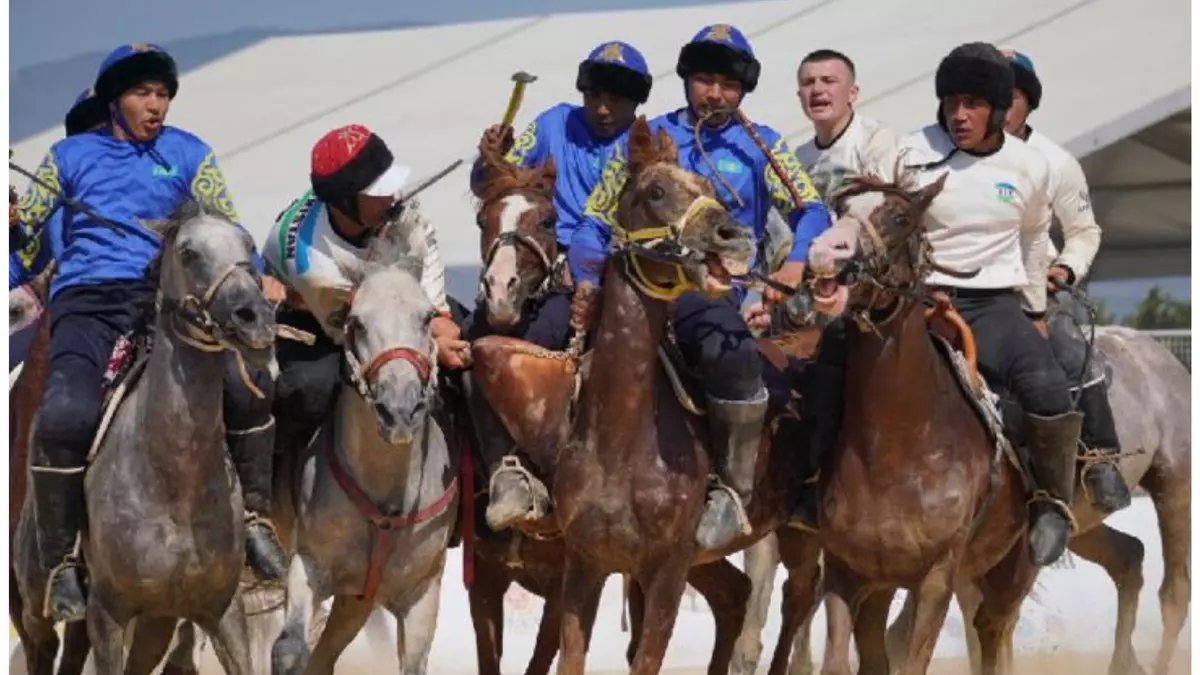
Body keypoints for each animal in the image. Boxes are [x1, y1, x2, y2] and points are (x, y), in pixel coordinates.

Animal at [269, 214, 459, 675]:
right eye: (356, 321)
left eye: (427, 317)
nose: (400, 409)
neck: (386, 497)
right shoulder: (309, 565)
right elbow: (290, 650)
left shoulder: (421, 594)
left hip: (357, 602)